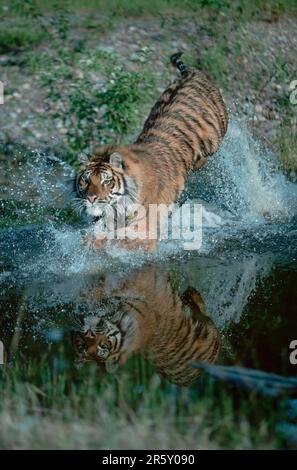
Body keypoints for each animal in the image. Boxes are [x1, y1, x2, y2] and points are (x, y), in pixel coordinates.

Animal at [74, 51, 227, 250]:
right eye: (85, 180)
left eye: (106, 181)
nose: (91, 198)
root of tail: (191, 73)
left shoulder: (144, 227)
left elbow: (123, 238)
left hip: (216, 136)